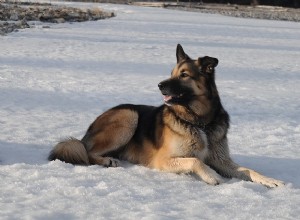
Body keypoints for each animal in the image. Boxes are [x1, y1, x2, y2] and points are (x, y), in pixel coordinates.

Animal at [48, 44, 284, 187]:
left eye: (184, 75)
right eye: (171, 73)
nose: (160, 85)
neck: (200, 122)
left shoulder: (223, 160)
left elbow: (248, 169)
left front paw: (269, 180)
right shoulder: (163, 160)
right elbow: (196, 161)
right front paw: (212, 176)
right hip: (128, 116)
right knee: (87, 151)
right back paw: (107, 160)